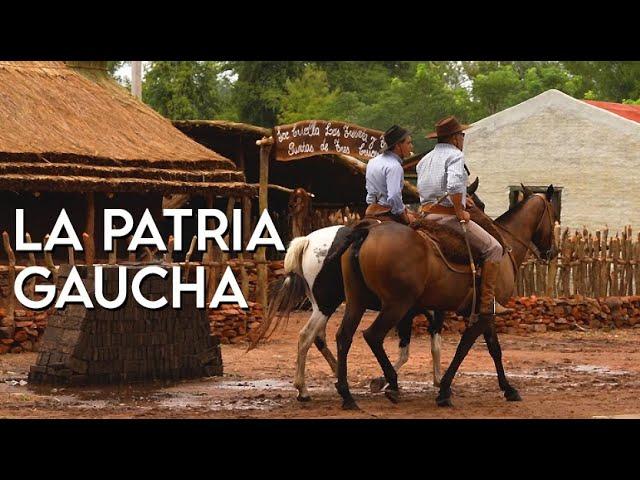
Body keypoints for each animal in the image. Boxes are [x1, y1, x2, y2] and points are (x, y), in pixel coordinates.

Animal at [336, 184, 560, 408]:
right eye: (554, 215)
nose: (553, 252)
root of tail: (367, 232)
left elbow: (492, 348)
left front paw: (506, 388)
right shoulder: (484, 314)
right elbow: (467, 348)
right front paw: (445, 390)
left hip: (357, 301)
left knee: (344, 337)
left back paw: (347, 395)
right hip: (396, 305)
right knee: (372, 336)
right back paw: (391, 383)